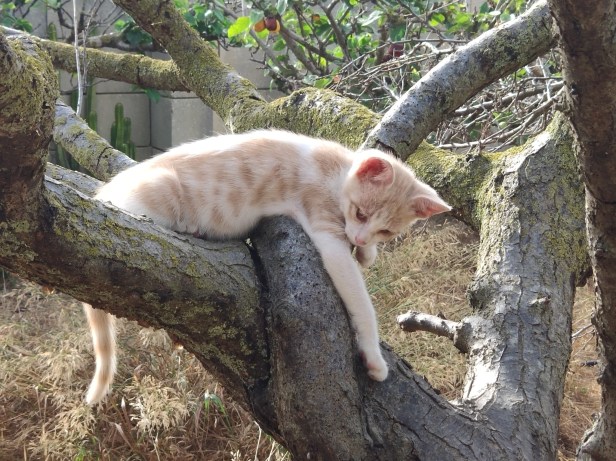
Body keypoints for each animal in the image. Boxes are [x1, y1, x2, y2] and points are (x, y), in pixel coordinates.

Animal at [84, 129, 451, 404]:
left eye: (386, 231)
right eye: (360, 212)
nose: (361, 237)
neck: (337, 170)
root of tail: (104, 193)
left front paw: (368, 252)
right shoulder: (326, 231)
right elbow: (361, 301)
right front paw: (374, 357)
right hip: (158, 193)